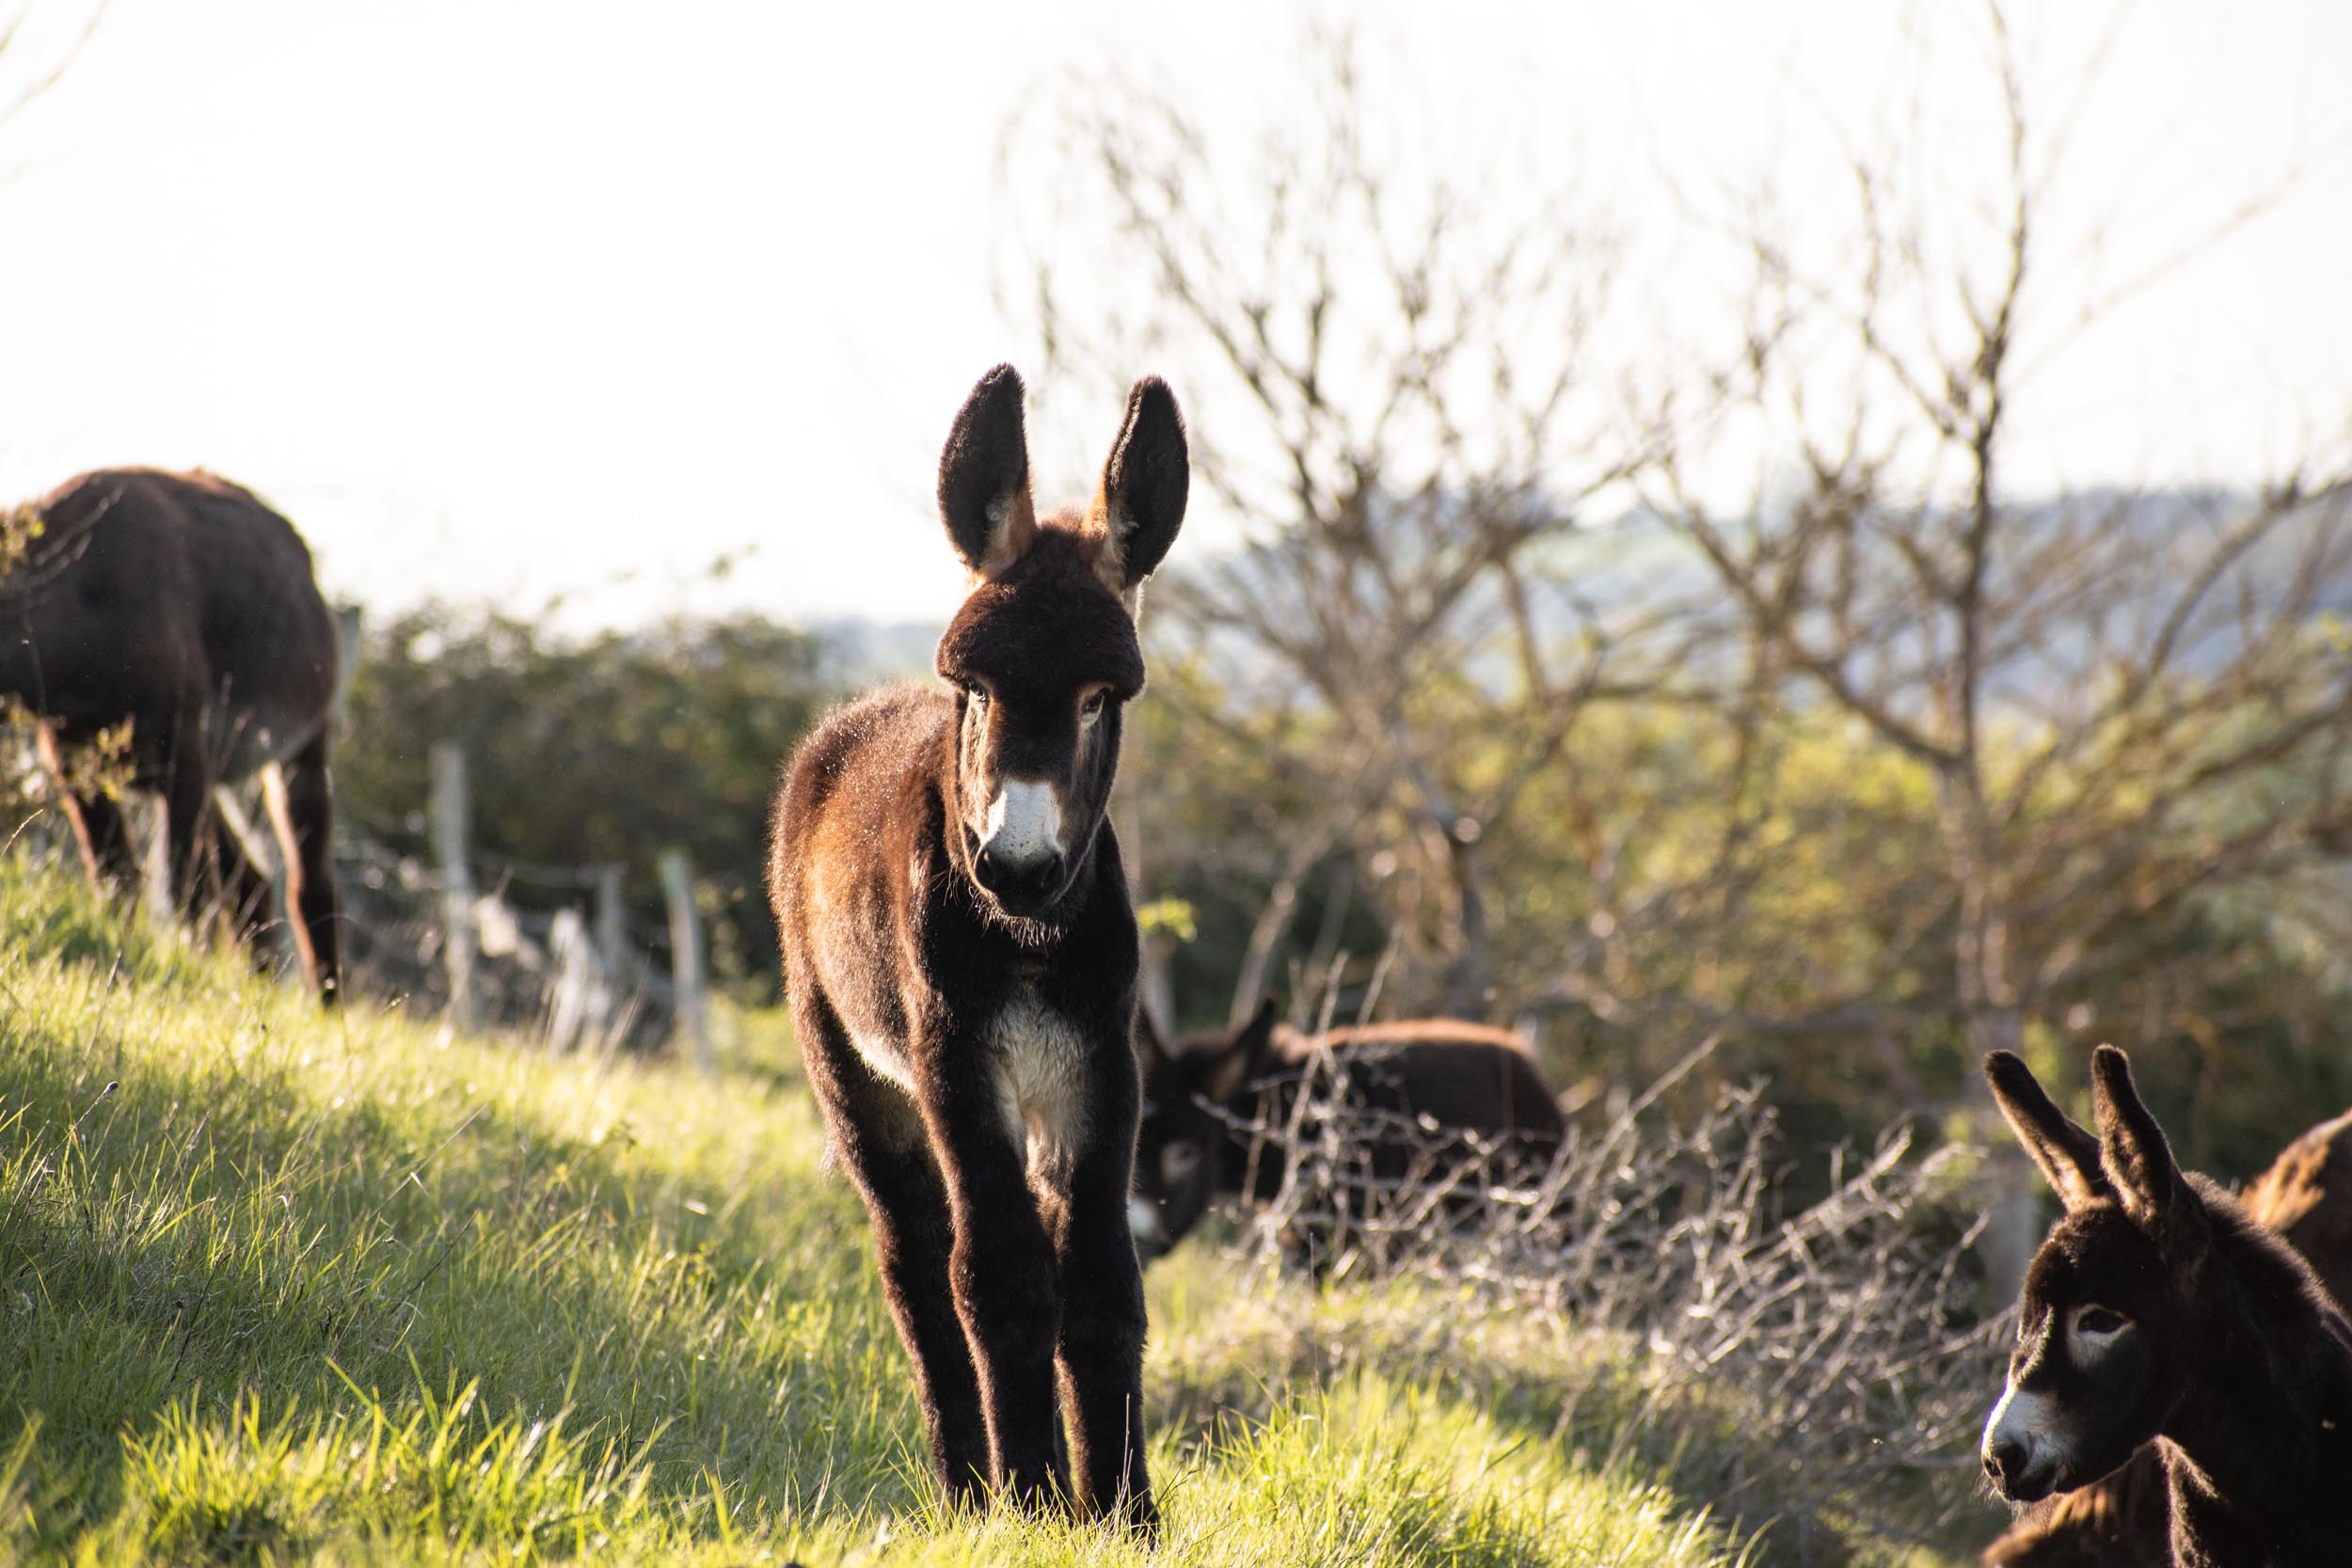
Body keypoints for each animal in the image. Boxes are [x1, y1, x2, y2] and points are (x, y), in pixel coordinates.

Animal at [0, 472, 343, 1001]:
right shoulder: (71, 754)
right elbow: (115, 872)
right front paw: (123, 942)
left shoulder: (181, 745)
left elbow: (188, 885)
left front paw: (188, 957)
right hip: (198, 777)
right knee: (251, 881)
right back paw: (259, 984)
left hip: (299, 752)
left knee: (308, 885)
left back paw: (325, 1000)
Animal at [771, 364, 1185, 1523]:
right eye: (978, 689)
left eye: (1099, 698)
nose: (1020, 868)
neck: (1033, 943)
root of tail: (854, 718)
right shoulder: (957, 1065)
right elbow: (997, 1278)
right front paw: (1035, 1503)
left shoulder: (1102, 1071)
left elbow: (1103, 1283)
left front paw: (1124, 1516)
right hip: (852, 1066)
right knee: (914, 1260)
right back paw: (964, 1484)